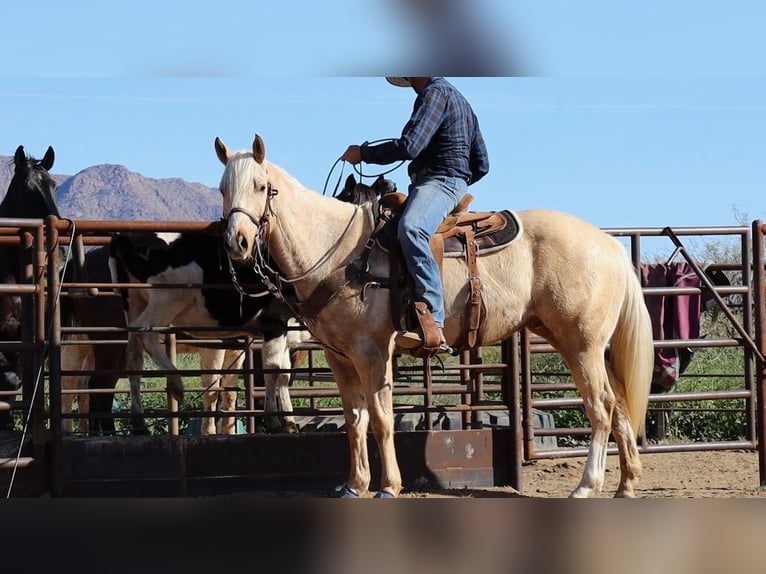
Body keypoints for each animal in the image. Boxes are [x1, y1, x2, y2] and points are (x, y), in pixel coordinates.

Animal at [214, 133, 655, 498]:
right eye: (223, 188)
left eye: (260, 186)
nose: (237, 242)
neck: (337, 249)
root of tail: (608, 244)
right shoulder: (340, 357)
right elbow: (355, 421)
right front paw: (354, 485)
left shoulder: (373, 352)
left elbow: (381, 419)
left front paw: (388, 486)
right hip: (591, 346)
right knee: (618, 404)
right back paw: (626, 485)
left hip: (581, 345)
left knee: (600, 406)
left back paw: (586, 486)